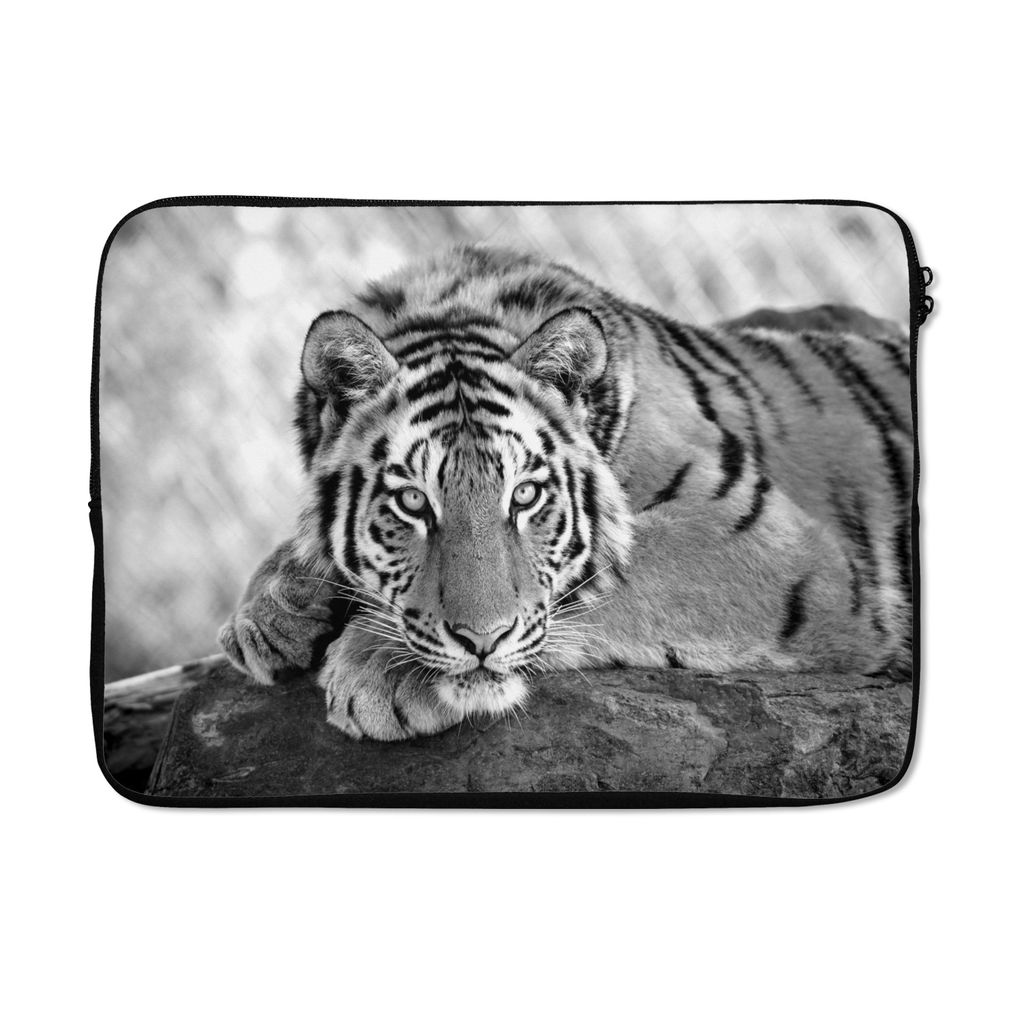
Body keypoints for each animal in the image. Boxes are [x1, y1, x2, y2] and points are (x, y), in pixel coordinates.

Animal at [218, 245, 913, 741]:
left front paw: (379, 667)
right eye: (413, 502)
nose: (481, 643)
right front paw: (269, 611)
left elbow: (602, 573)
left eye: (525, 496)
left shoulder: (772, 540)